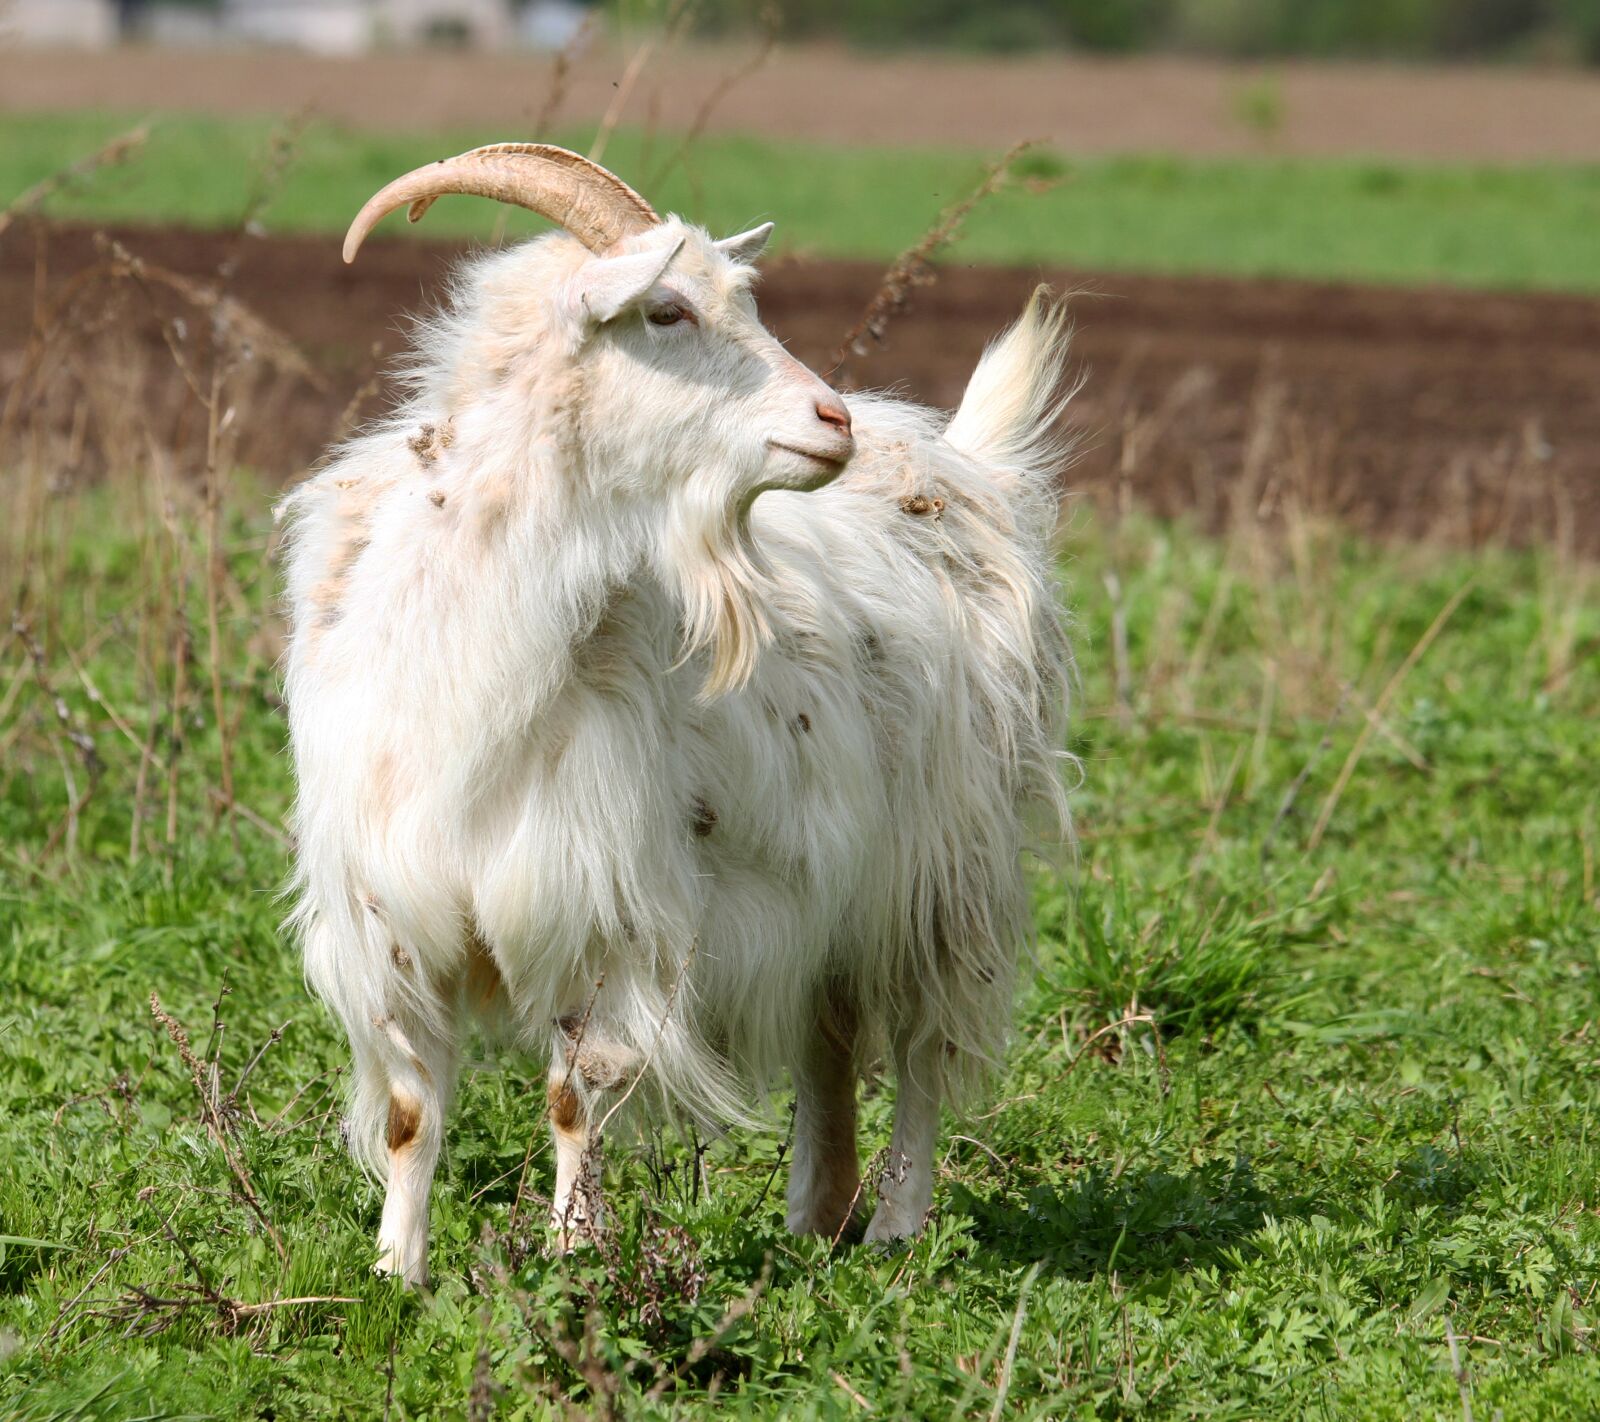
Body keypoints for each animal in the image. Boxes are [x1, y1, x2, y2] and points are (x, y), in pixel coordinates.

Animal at [280, 144, 1074, 1286]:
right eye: (665, 310)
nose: (831, 420)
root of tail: (966, 472)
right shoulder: (392, 917)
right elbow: (409, 1114)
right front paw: (396, 1275)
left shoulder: (600, 906)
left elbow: (576, 1095)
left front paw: (573, 1260)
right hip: (827, 897)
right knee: (831, 1035)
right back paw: (814, 1218)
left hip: (938, 879)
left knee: (921, 1050)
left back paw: (893, 1224)